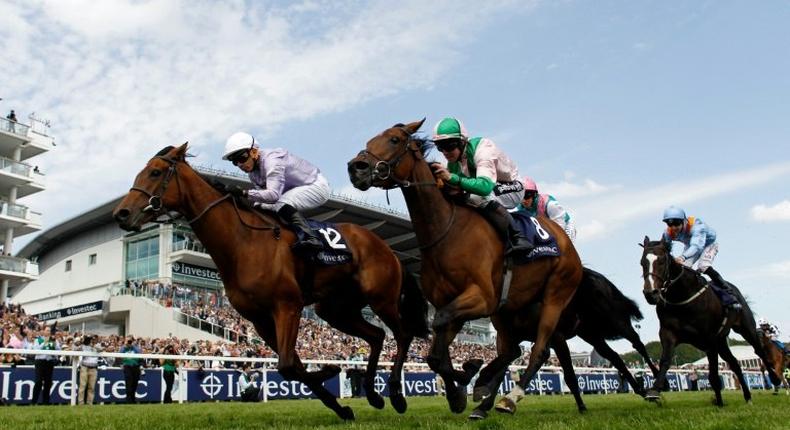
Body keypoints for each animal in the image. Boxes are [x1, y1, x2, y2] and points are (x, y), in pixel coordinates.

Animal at [114, 144, 430, 420]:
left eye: (155, 172)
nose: (121, 213)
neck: (242, 241)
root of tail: (389, 249)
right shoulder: (260, 320)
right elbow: (293, 364)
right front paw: (339, 401)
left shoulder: (287, 307)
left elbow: (289, 364)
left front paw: (331, 375)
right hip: (336, 310)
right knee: (377, 336)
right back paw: (373, 394)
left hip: (381, 299)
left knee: (402, 334)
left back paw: (395, 394)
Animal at [350, 119, 584, 418]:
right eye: (369, 142)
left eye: (394, 140)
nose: (356, 168)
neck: (446, 231)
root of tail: (566, 239)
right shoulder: (452, 303)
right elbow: (435, 354)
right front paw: (460, 391)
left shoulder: (480, 298)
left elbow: (437, 330)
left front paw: (468, 374)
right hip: (509, 309)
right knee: (512, 351)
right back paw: (484, 397)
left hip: (554, 295)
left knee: (539, 350)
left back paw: (508, 398)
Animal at [640, 237, 784, 404]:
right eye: (642, 262)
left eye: (662, 261)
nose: (651, 293)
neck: (682, 298)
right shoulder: (668, 333)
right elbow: (665, 360)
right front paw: (655, 389)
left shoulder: (709, 338)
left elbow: (714, 375)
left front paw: (720, 403)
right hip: (721, 341)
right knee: (734, 363)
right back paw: (748, 397)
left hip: (745, 328)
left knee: (758, 350)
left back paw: (774, 379)